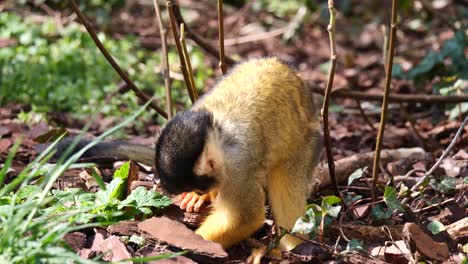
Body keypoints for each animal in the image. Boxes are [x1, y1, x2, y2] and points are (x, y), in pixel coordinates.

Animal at [52, 57, 322, 252]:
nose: (202, 191)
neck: (217, 136)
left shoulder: (237, 166)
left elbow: (246, 217)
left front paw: (188, 245)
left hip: (307, 145)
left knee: (288, 187)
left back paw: (294, 246)